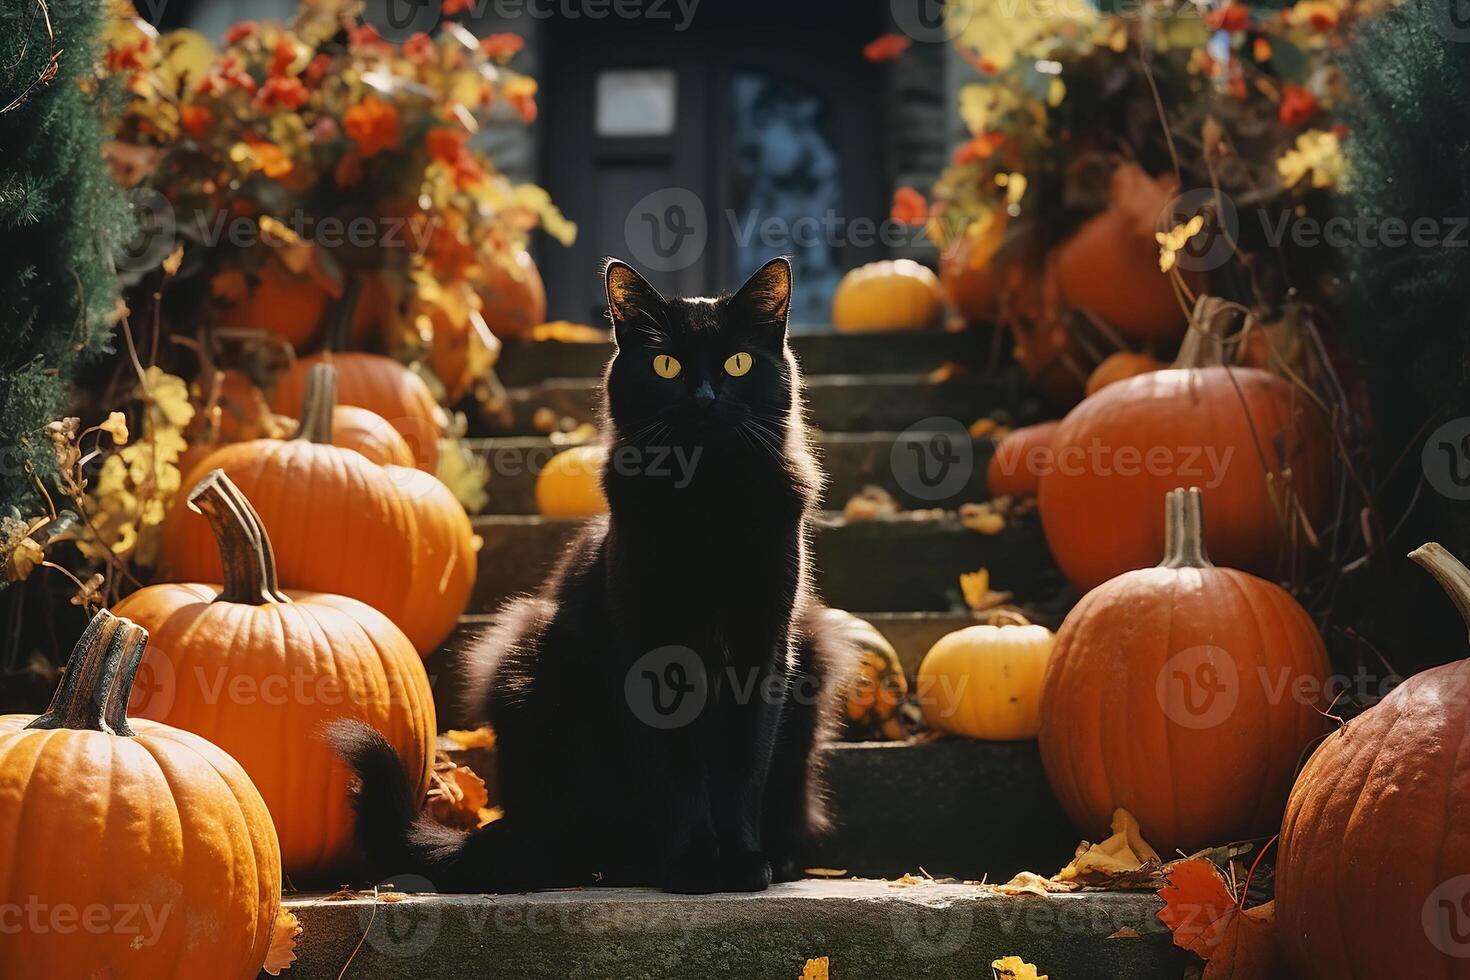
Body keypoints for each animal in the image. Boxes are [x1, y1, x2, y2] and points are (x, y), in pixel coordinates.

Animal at [330, 257, 858, 893]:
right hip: (528, 658)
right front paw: (691, 865)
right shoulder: (649, 648)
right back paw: (625, 862)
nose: (705, 399)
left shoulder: (767, 644)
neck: (707, 498)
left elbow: (744, 766)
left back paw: (775, 857)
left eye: (738, 363)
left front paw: (741, 862)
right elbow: (678, 770)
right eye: (665, 364)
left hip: (813, 649)